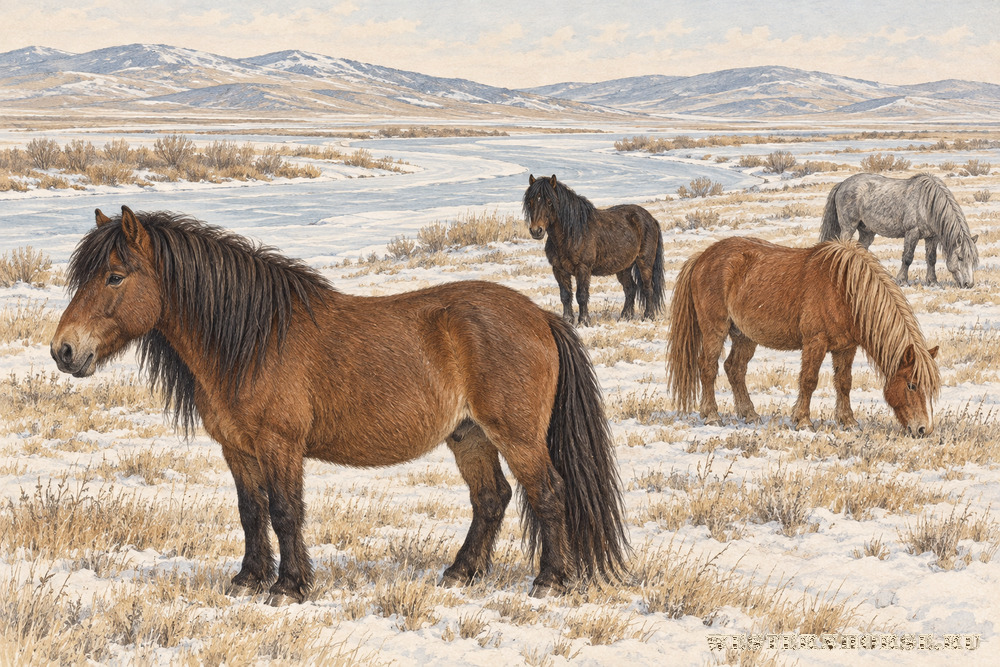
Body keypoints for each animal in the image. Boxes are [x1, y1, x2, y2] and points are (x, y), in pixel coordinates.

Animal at [50, 206, 629, 604]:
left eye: (115, 276)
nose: (64, 351)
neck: (253, 339)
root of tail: (541, 316)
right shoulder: (238, 449)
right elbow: (250, 511)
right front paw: (247, 579)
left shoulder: (279, 445)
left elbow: (285, 512)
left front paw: (288, 587)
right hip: (469, 435)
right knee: (492, 499)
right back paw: (460, 572)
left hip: (516, 435)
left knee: (547, 493)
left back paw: (550, 580)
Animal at [523, 174, 665, 326]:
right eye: (530, 202)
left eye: (550, 202)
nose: (536, 231)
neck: (572, 234)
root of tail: (651, 218)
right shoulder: (558, 269)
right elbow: (565, 296)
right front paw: (567, 320)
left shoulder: (583, 269)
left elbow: (581, 295)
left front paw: (584, 322)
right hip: (624, 267)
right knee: (630, 289)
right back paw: (625, 317)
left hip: (644, 262)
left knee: (647, 288)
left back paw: (648, 317)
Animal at [666, 237, 940, 436]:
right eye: (912, 385)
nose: (923, 429)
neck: (844, 290)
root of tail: (702, 257)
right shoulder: (815, 342)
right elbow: (809, 380)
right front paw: (803, 421)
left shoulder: (846, 347)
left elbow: (844, 383)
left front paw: (848, 421)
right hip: (715, 329)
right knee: (708, 368)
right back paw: (712, 415)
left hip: (744, 336)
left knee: (735, 369)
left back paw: (750, 415)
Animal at [819, 172, 979, 288]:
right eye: (960, 258)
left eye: (973, 260)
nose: (968, 284)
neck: (927, 204)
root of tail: (842, 184)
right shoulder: (912, 233)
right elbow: (907, 258)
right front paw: (902, 281)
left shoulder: (931, 237)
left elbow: (931, 259)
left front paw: (933, 282)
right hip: (848, 228)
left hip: (867, 232)